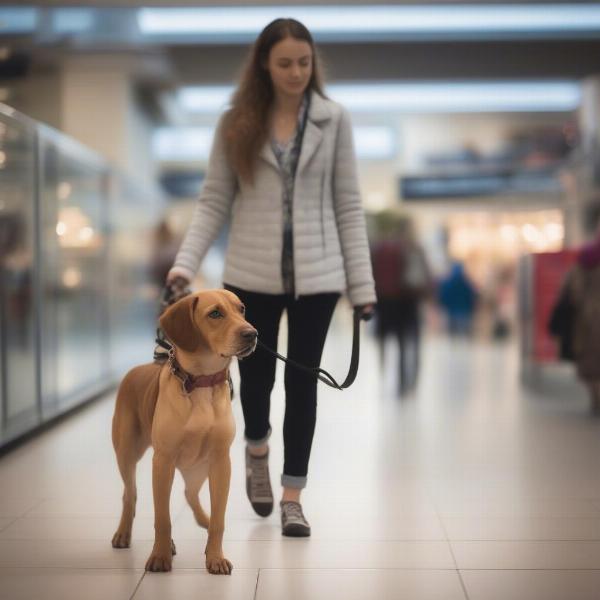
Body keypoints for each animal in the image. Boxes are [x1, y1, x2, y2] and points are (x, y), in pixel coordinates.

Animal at [111, 290, 256, 572]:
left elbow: (219, 519)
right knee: (129, 494)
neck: (200, 382)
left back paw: (204, 521)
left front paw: (215, 556)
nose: (252, 333)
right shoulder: (163, 461)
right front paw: (159, 555)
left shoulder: (221, 461)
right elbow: (162, 518)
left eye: (241, 309)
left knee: (190, 493)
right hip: (127, 453)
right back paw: (125, 532)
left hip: (200, 467)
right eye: (215, 313)